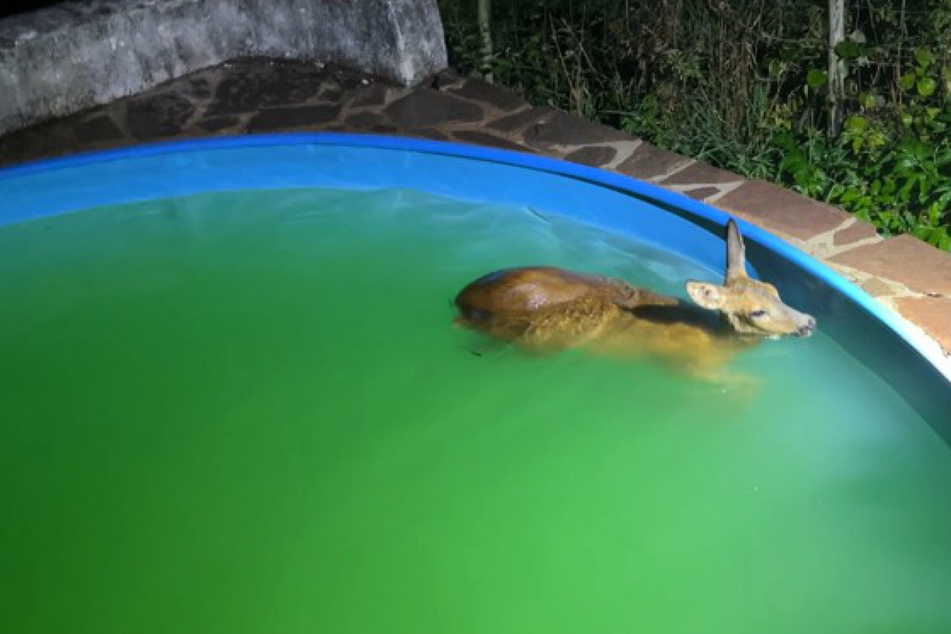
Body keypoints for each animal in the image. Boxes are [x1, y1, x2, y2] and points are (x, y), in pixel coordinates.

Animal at [456, 218, 820, 380]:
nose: (809, 322)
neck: (717, 341)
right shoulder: (690, 365)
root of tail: (461, 301)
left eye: (775, 291)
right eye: (756, 312)